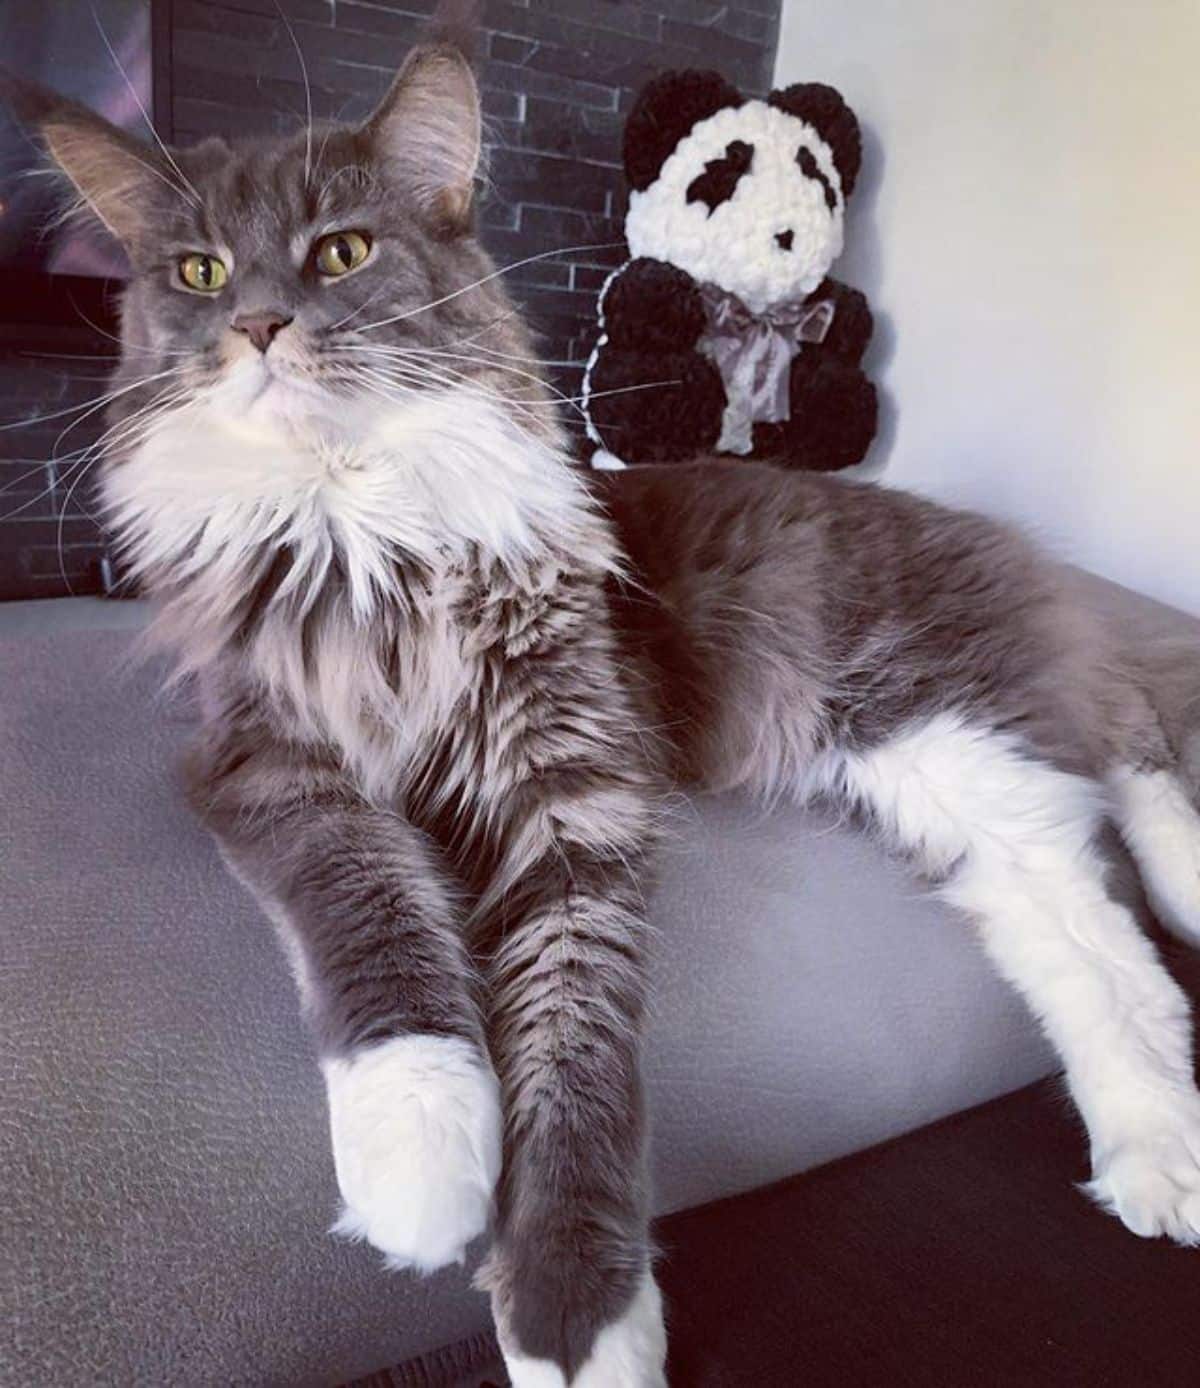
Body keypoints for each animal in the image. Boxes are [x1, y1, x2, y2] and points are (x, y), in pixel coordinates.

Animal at [585, 70, 876, 471]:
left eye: (819, 179)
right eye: (727, 174)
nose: (787, 234)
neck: (756, 314)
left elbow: (838, 320)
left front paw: (851, 313)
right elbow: (637, 300)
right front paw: (662, 292)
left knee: (825, 381)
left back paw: (835, 418)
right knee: (640, 380)